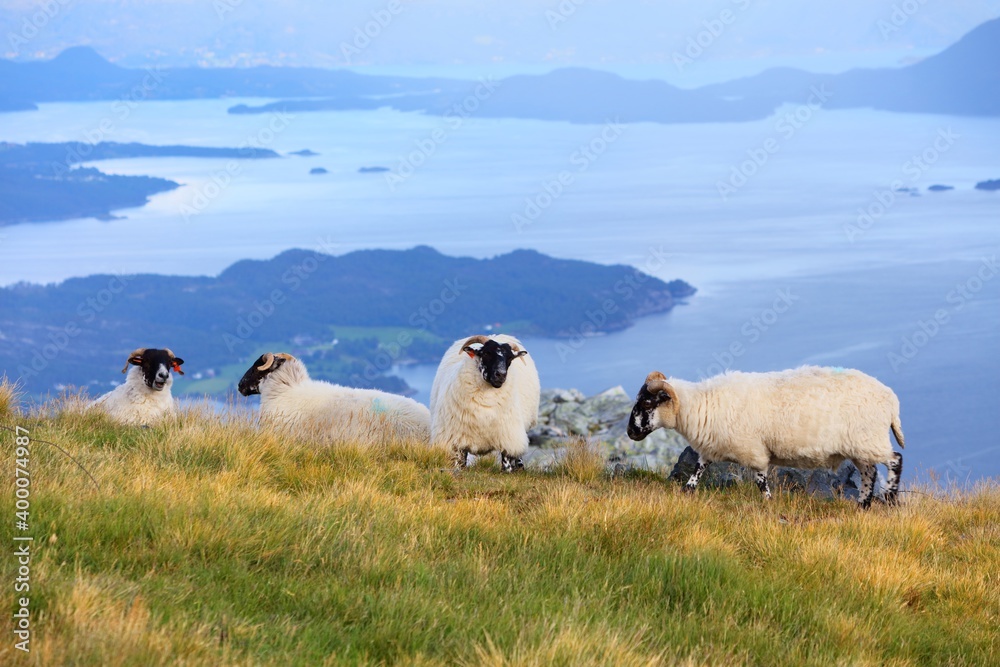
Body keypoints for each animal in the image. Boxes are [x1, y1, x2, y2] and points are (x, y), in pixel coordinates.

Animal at [430, 334, 540, 471]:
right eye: (486, 353)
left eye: (510, 357)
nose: (501, 375)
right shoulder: (457, 436)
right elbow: (459, 461)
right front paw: (459, 470)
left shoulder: (507, 435)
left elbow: (506, 461)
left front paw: (507, 471)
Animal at [627, 366, 904, 508]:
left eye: (648, 402)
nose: (630, 432)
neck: (701, 405)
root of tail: (891, 400)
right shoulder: (711, 449)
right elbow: (697, 470)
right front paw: (687, 491)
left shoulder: (754, 451)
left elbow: (761, 481)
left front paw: (769, 503)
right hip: (860, 446)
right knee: (869, 473)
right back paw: (862, 506)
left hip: (869, 439)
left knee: (895, 460)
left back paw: (889, 498)